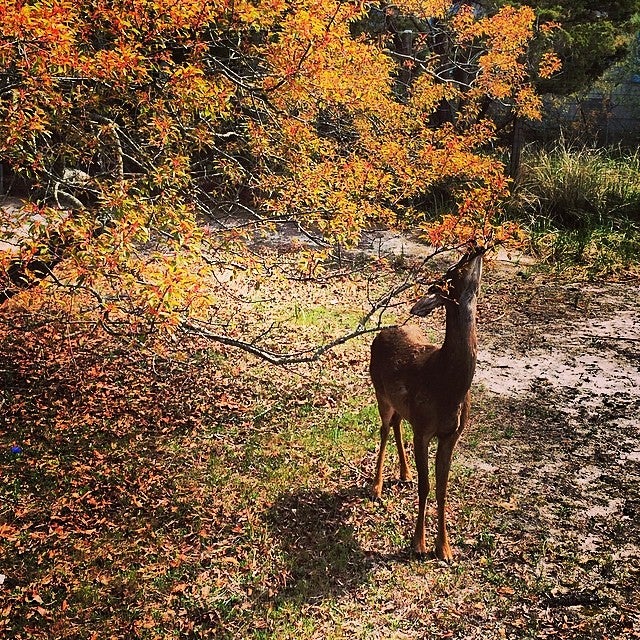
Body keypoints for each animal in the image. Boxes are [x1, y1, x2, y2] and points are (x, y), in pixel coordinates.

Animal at [370, 245, 484, 560]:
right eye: (452, 272)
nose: (476, 246)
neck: (446, 384)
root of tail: (383, 331)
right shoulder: (423, 430)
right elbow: (426, 485)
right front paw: (419, 544)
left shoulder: (451, 434)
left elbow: (442, 487)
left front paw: (444, 547)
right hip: (379, 392)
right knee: (384, 429)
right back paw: (377, 486)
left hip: (402, 407)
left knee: (397, 424)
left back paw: (404, 474)